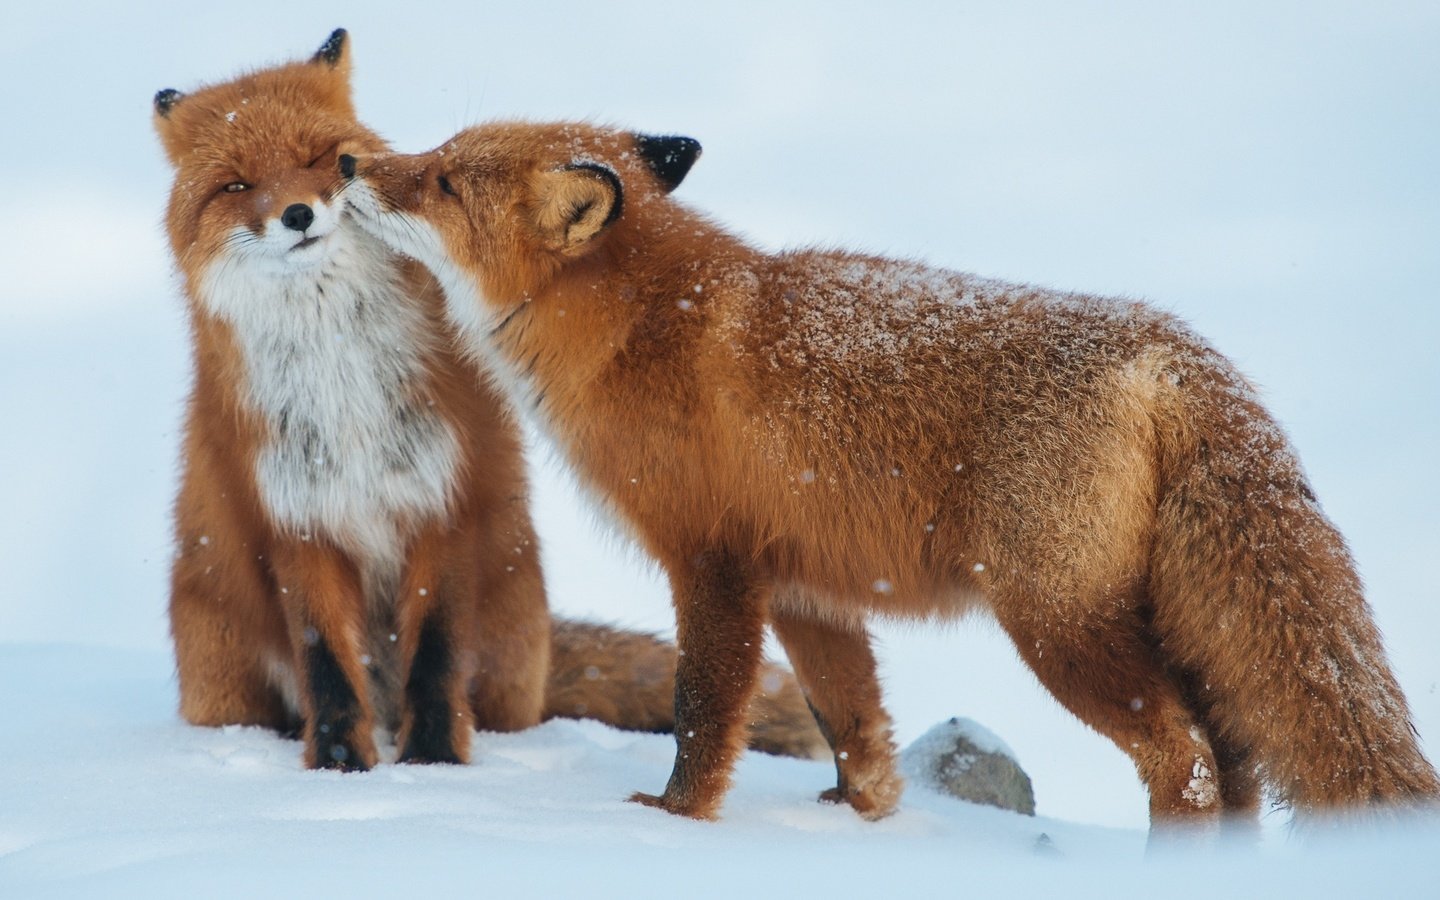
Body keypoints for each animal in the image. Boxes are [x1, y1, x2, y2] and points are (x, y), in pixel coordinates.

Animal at [151, 31, 829, 766]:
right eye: (236, 185)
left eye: (317, 158)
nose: (298, 214)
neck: (343, 380)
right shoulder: (298, 520)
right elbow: (327, 665)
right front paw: (342, 769)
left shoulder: (447, 497)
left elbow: (436, 654)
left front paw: (434, 763)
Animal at [339, 120, 1440, 829]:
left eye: (443, 180)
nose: (350, 161)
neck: (644, 327)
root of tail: (1171, 349)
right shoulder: (807, 588)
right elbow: (851, 725)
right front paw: (858, 821)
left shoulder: (713, 564)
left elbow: (704, 713)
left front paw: (673, 821)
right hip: (1156, 624)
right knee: (1237, 762)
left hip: (1058, 628)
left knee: (1192, 763)